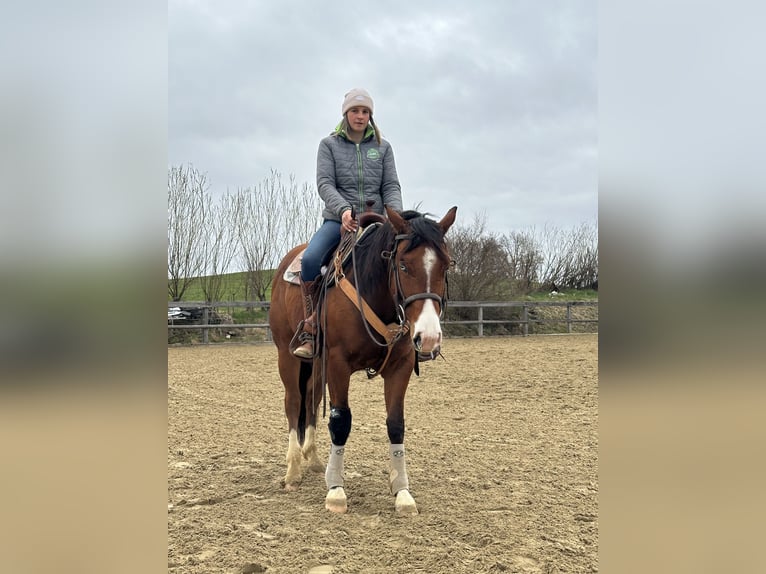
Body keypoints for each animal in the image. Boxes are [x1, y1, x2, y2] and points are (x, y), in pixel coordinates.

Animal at [269, 205, 457, 515]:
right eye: (403, 266)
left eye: (445, 266)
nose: (429, 337)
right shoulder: (338, 364)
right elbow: (340, 421)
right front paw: (335, 491)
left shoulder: (401, 367)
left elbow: (396, 424)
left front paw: (402, 493)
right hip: (287, 354)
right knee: (294, 401)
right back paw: (293, 470)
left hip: (316, 365)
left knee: (311, 399)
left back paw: (314, 459)